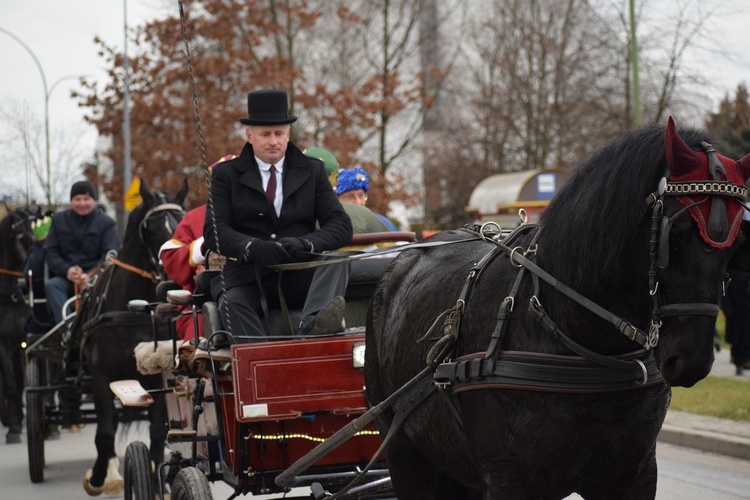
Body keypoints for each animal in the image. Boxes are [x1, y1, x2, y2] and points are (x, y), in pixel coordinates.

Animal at [73, 178, 187, 494]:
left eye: (183, 221)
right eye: (154, 229)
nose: (172, 275)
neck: (134, 310)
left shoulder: (158, 374)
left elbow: (158, 430)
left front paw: (159, 479)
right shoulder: (102, 375)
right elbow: (104, 431)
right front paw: (100, 477)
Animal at [368, 118, 750, 500]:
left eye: (735, 247)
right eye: (676, 235)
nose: (692, 360)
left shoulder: (634, 475)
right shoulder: (509, 480)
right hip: (404, 452)